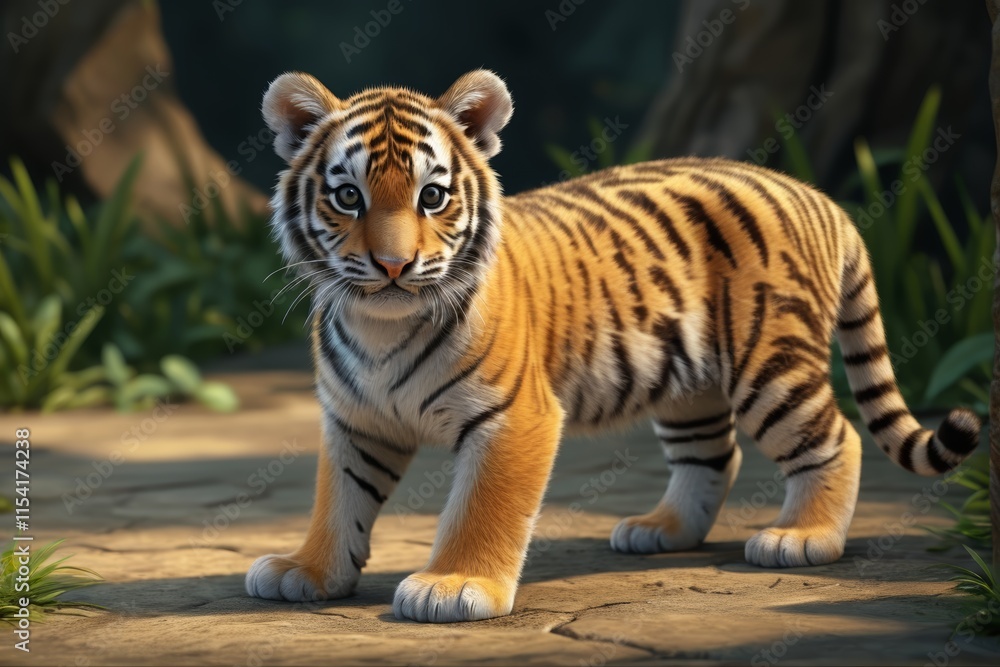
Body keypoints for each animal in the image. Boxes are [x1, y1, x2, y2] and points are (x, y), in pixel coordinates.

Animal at [244, 69, 983, 623]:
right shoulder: (357, 419)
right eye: (348, 196)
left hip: (769, 364)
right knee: (714, 455)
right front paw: (306, 569)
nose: (395, 266)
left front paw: (455, 586)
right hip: (690, 382)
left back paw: (803, 538)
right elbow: (337, 501)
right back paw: (661, 530)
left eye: (432, 197)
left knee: (837, 437)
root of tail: (819, 196)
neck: (383, 327)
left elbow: (482, 507)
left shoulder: (513, 416)